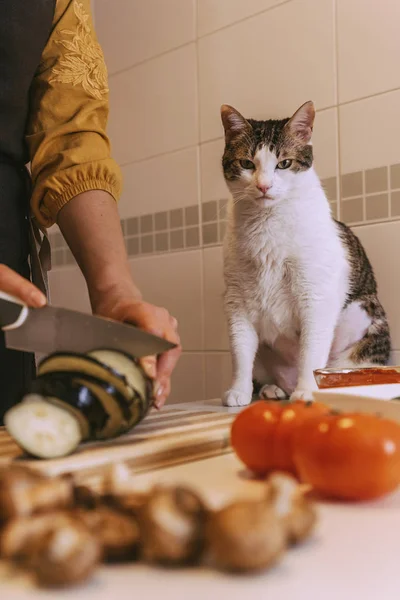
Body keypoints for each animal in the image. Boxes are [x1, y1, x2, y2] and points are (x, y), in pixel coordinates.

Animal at [220, 102, 390, 408]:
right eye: (247, 164)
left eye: (284, 163)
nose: (264, 186)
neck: (267, 225)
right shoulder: (236, 300)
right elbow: (240, 350)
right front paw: (238, 390)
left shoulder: (316, 295)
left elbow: (311, 351)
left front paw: (307, 391)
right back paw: (272, 389)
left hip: (366, 329)